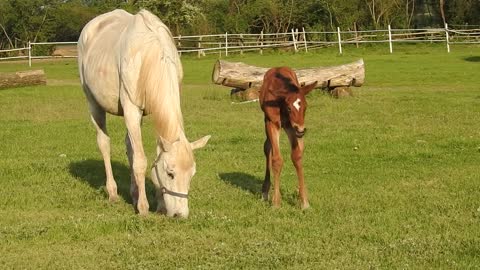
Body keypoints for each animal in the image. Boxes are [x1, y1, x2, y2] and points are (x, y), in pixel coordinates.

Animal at [77, 9, 208, 218]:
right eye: (170, 173)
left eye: (192, 174)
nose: (180, 215)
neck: (150, 55)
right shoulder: (131, 109)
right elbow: (140, 161)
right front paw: (144, 208)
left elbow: (147, 156)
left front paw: (159, 204)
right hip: (93, 103)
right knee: (104, 144)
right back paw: (113, 193)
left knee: (130, 147)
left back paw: (133, 194)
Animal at [260, 67, 316, 209]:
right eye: (289, 108)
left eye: (305, 107)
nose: (301, 129)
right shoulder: (272, 122)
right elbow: (276, 159)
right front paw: (276, 202)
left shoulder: (291, 126)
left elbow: (297, 156)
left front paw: (304, 202)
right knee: (267, 147)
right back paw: (265, 192)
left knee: (300, 148)